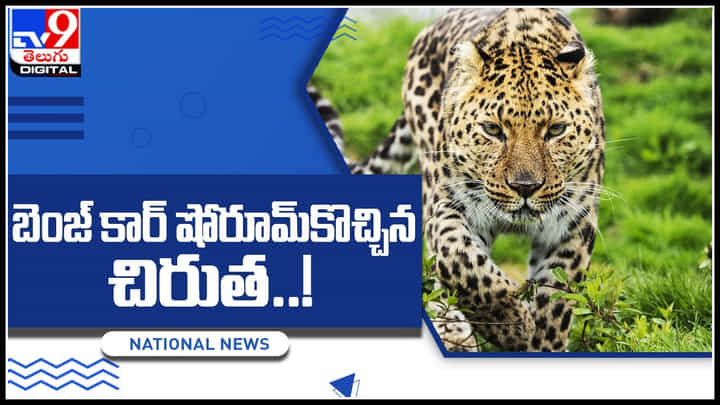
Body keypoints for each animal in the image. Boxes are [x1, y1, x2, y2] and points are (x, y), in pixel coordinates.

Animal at [310, 7, 605, 352]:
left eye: (556, 130)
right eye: (492, 129)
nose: (525, 188)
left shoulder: (572, 226)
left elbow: (556, 302)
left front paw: (540, 342)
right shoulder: (448, 206)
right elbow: (459, 260)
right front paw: (511, 322)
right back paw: (452, 330)